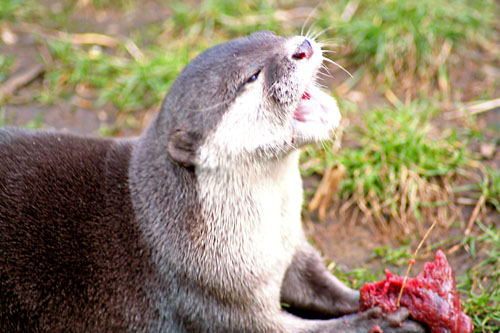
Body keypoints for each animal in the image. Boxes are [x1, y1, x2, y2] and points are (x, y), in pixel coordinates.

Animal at [0, 30, 426, 330]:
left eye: (270, 35)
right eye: (252, 76)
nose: (301, 46)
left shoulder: (291, 249)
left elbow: (322, 283)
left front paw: (400, 292)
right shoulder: (210, 293)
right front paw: (379, 322)